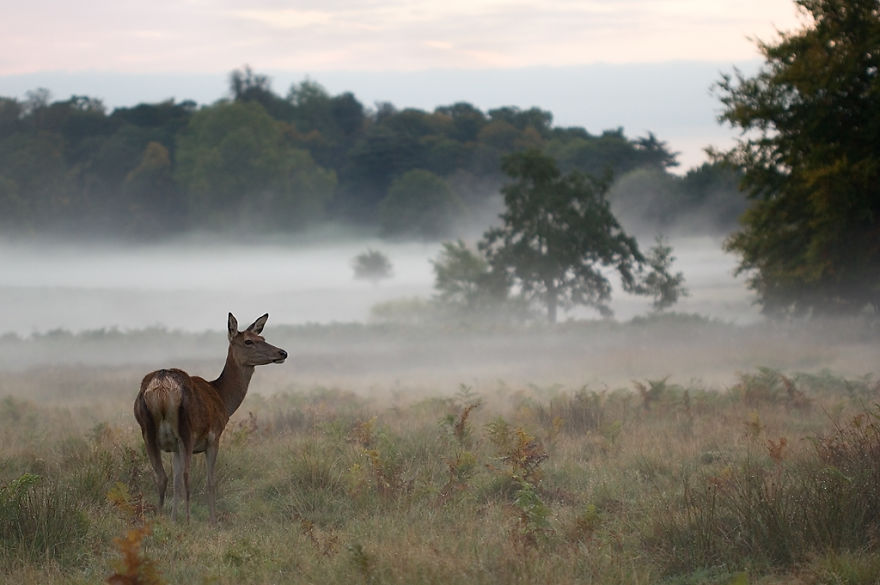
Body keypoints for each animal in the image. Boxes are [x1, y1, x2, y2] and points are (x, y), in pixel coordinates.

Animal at [134, 313, 287, 522]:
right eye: (248, 341)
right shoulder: (214, 437)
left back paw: (158, 518)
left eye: (262, 337)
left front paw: (173, 520)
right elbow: (210, 481)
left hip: (147, 431)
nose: (282, 353)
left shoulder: (174, 448)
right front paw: (213, 522)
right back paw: (188, 521)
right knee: (187, 475)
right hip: (187, 430)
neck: (222, 397)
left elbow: (175, 481)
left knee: (162, 477)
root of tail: (161, 387)